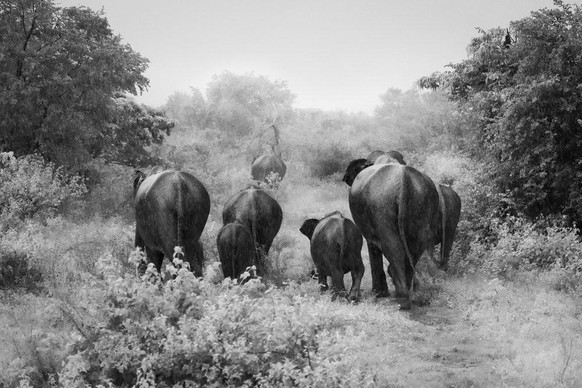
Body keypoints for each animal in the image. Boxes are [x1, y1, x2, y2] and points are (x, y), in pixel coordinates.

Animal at [344, 158, 440, 310]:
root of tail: (403, 179)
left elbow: (373, 245)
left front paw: (379, 293)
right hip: (423, 204)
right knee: (417, 244)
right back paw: (409, 293)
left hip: (381, 205)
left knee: (392, 245)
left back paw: (402, 299)